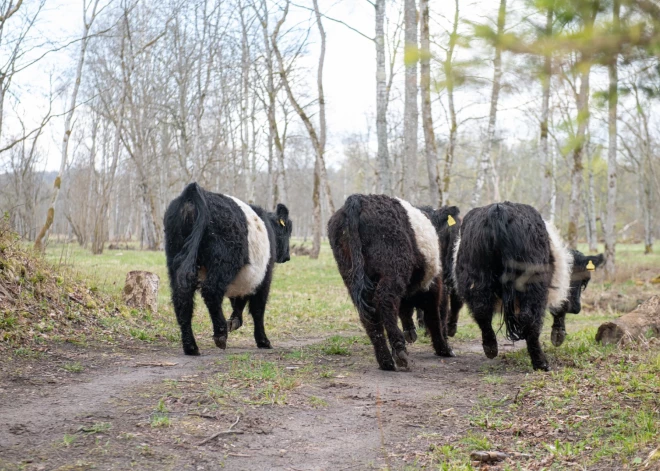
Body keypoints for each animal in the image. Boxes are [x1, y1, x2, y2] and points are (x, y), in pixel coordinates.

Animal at [163, 183, 292, 356]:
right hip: (223, 263)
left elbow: (238, 301)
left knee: (182, 300)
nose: (287, 256)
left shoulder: (243, 278)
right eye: (288, 231)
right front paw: (263, 341)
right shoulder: (264, 276)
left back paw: (191, 347)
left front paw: (235, 321)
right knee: (211, 292)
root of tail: (194, 190)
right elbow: (257, 308)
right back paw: (220, 333)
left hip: (175, 259)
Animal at [328, 194, 456, 370]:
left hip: (350, 274)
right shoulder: (435, 284)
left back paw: (385, 360)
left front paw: (411, 332)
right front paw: (443, 348)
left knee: (369, 315)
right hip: (393, 269)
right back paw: (400, 352)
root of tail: (359, 199)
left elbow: (405, 309)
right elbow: (434, 315)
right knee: (385, 302)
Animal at [454, 203, 604, 372]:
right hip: (532, 283)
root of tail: (499, 210)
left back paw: (491, 348)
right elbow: (560, 307)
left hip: (476, 278)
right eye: (583, 281)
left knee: (481, 311)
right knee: (529, 318)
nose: (577, 308)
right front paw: (558, 335)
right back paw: (541, 362)